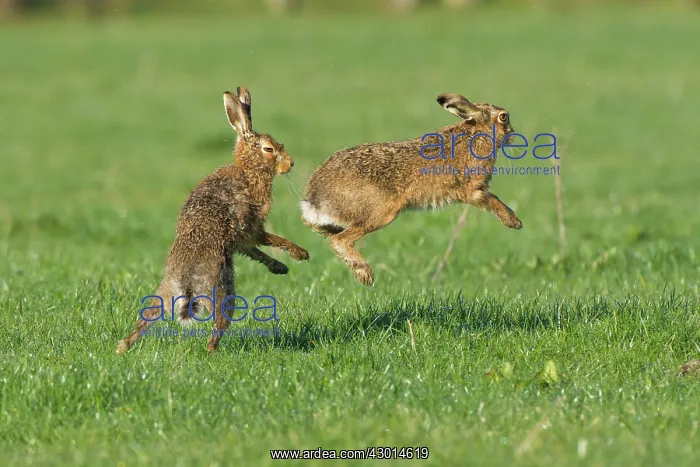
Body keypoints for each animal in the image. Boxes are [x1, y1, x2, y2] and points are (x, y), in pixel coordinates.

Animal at [117, 86, 310, 354]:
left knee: (147, 316)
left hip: (163, 294)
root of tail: (186, 283)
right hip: (223, 289)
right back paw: (212, 352)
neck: (249, 171)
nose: (290, 164)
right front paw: (300, 254)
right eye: (269, 149)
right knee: (219, 325)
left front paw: (279, 267)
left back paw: (121, 348)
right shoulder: (251, 228)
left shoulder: (240, 241)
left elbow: (255, 251)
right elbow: (268, 240)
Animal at [301, 93, 522, 287]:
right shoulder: (472, 190)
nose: (511, 134)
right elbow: (493, 201)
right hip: (381, 213)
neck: (478, 133)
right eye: (503, 117)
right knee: (340, 240)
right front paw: (514, 222)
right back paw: (366, 275)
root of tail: (315, 200)